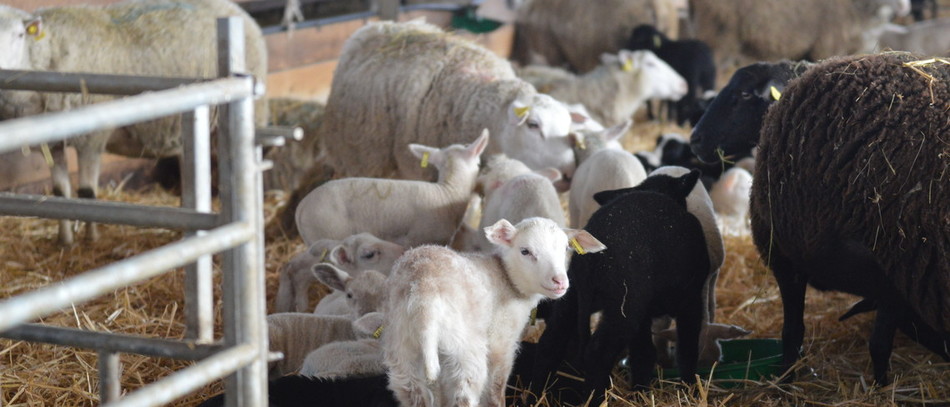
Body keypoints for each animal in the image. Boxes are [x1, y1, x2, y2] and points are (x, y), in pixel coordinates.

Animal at [0, 0, 268, 245]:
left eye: (20, 35)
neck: (46, 52)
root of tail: (237, 10)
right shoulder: (51, 142)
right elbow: (60, 193)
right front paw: (65, 241)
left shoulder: (93, 137)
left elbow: (86, 193)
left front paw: (91, 240)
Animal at [383, 217, 605, 407]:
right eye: (525, 251)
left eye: (565, 248)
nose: (559, 281)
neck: (507, 278)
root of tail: (424, 293)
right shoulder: (501, 342)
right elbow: (496, 387)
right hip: (465, 348)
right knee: (465, 395)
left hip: (403, 351)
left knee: (412, 393)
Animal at [530, 170, 711, 405]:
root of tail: (591, 254)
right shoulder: (691, 300)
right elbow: (687, 349)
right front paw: (691, 389)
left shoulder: (644, 311)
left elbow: (643, 354)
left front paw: (640, 393)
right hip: (625, 304)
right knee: (597, 352)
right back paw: (595, 399)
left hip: (574, 296)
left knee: (549, 344)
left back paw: (534, 397)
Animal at [695, 52, 949, 384]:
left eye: (745, 94)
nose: (694, 139)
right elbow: (795, 332)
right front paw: (786, 379)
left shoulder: (890, 273)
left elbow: (873, 343)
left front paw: (880, 386)